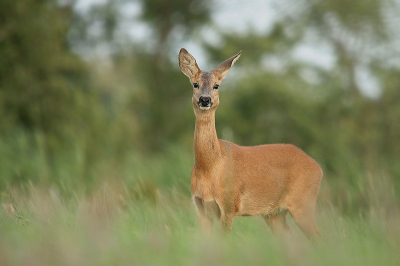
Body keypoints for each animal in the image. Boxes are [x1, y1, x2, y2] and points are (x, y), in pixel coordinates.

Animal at [180, 47, 324, 241]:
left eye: (216, 85)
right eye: (195, 84)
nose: (205, 99)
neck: (211, 167)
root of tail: (318, 167)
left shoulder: (229, 205)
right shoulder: (201, 207)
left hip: (303, 203)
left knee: (318, 236)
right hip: (275, 213)